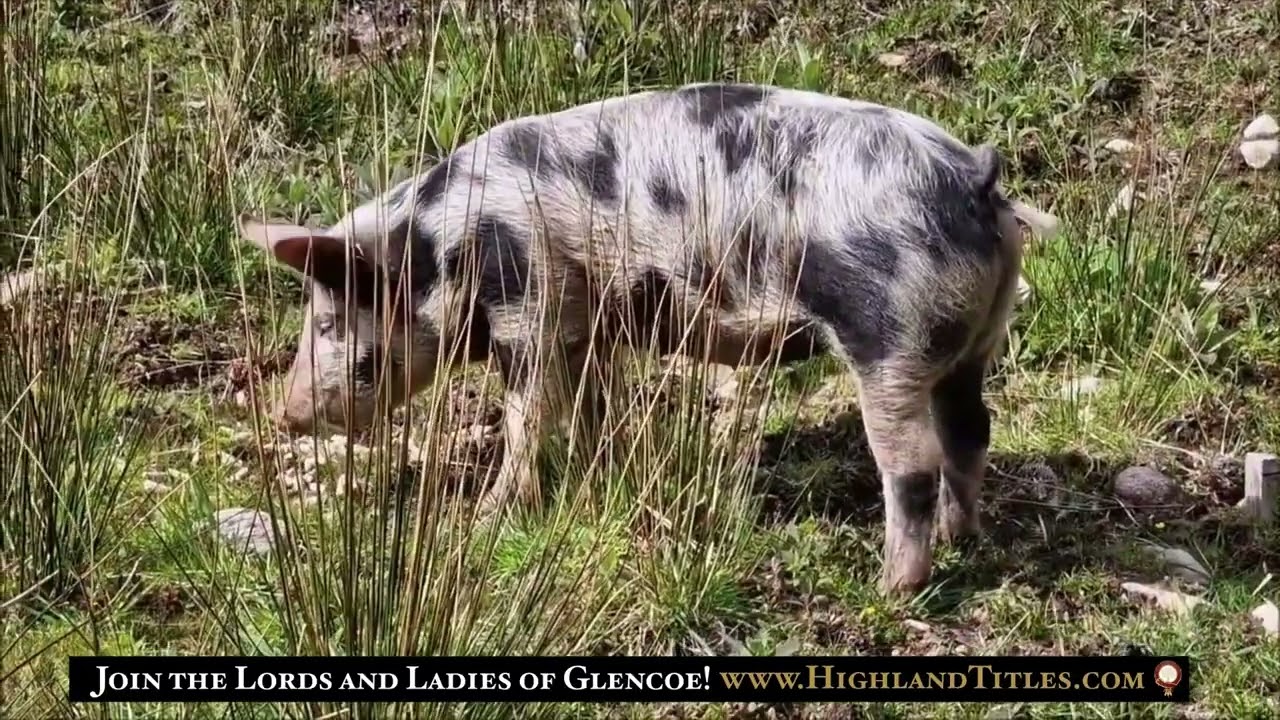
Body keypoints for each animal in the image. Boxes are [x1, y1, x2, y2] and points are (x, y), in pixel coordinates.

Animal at [236, 82, 1059, 595]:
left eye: (327, 322)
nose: (286, 411)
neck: (439, 245)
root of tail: (974, 177)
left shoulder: (527, 296)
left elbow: (528, 411)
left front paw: (488, 515)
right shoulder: (583, 321)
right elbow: (590, 401)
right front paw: (597, 472)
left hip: (886, 331)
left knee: (913, 461)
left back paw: (891, 586)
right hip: (975, 336)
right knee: (972, 430)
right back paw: (962, 538)